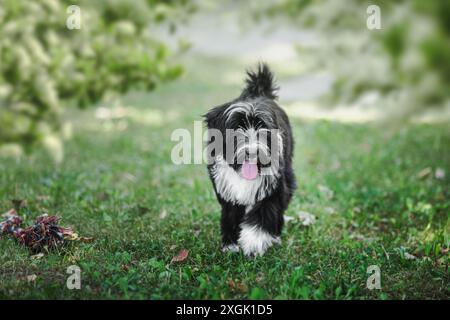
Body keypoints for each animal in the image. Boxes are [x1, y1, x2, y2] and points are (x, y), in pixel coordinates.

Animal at [203, 63, 296, 258]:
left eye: (262, 127)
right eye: (236, 128)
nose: (252, 152)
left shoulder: (274, 186)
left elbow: (264, 212)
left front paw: (254, 241)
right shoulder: (227, 188)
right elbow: (230, 212)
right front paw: (230, 243)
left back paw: (275, 236)